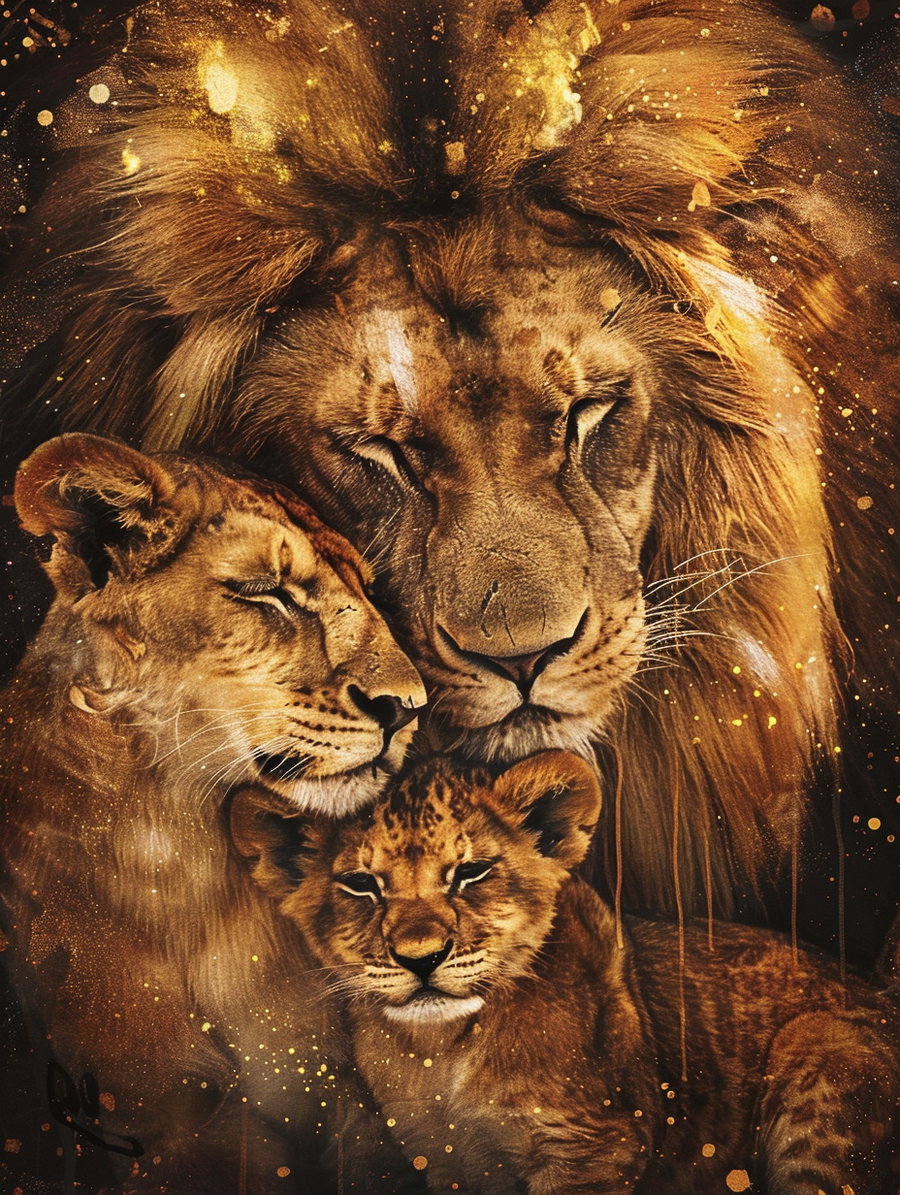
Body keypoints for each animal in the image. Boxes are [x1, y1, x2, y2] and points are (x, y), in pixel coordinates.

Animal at [0, 433, 425, 1192]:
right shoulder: (165, 1124)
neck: (181, 851)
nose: (409, 705)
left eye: (369, 592)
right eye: (265, 593)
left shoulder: (331, 1090)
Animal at [233, 752, 900, 1194]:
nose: (421, 957)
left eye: (470, 873)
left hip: (820, 1057)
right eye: (360, 885)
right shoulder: (440, 1160)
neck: (443, 1053)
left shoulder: (596, 1147)